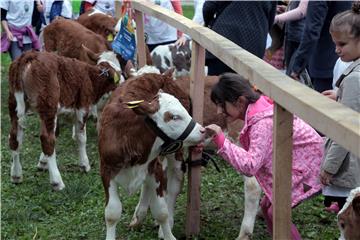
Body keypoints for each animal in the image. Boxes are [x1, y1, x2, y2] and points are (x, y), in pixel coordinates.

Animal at [8, 49, 121, 190]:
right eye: (119, 75)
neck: (90, 77)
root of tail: (29, 55)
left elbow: (56, 133)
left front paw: (43, 162)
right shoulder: (82, 108)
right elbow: (81, 137)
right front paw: (84, 164)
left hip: (14, 105)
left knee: (14, 138)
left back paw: (16, 175)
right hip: (48, 106)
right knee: (47, 139)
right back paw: (57, 181)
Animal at [98, 70, 205, 240]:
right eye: (174, 116)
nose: (202, 130)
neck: (128, 138)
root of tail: (163, 75)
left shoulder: (155, 168)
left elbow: (161, 211)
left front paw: (168, 234)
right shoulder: (106, 170)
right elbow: (112, 213)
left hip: (175, 154)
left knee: (174, 184)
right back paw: (138, 215)